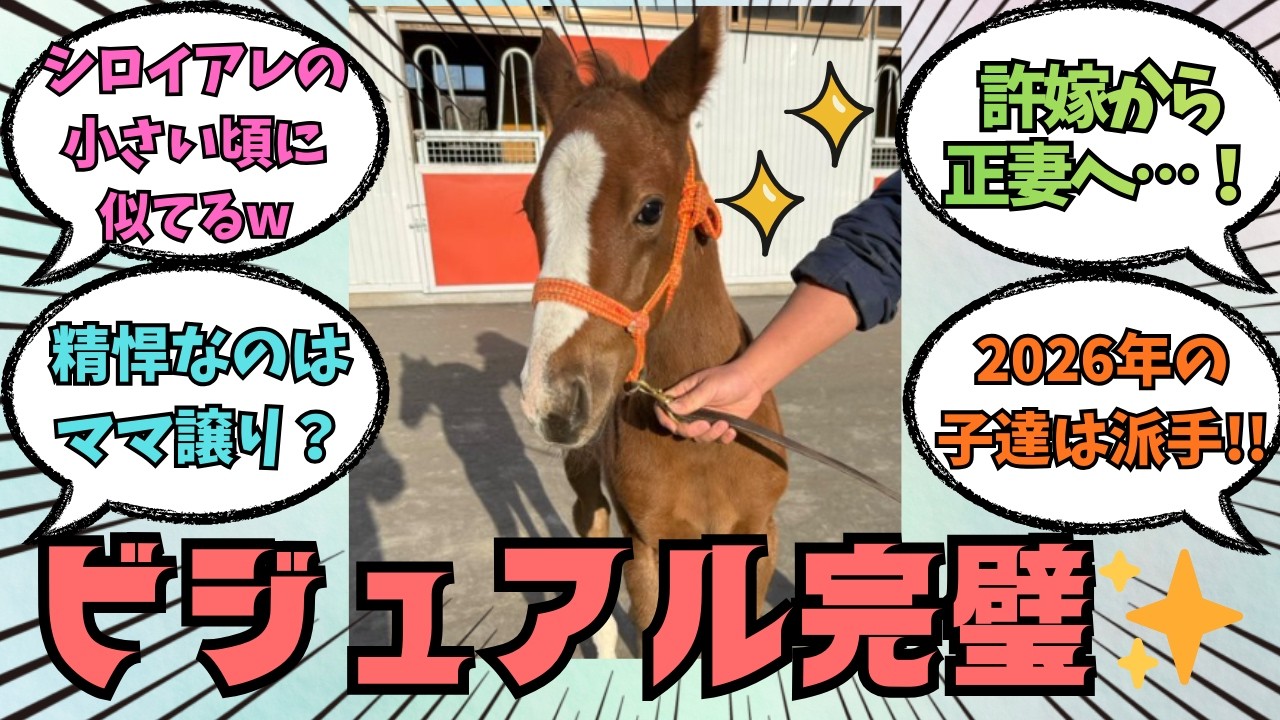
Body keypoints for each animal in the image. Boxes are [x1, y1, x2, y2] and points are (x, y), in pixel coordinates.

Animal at [518, 7, 788, 657]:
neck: (703, 442)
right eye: (530, 210)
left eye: (650, 209)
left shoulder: (759, 538)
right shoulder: (647, 549)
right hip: (586, 479)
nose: (549, 401)